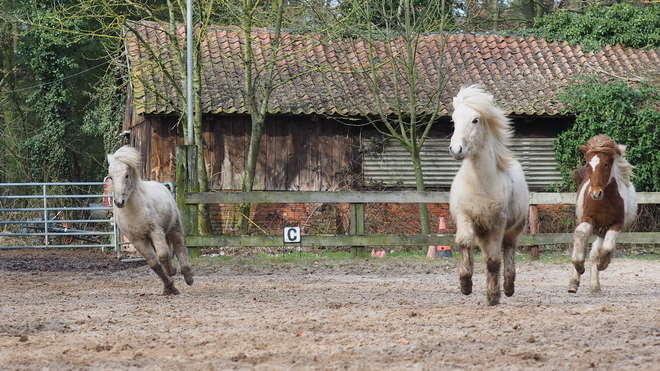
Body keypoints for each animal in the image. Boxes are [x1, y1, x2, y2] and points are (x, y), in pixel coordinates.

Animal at [108, 147, 193, 294]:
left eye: (126, 175)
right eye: (111, 177)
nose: (119, 202)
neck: (135, 213)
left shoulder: (156, 231)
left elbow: (163, 255)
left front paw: (172, 271)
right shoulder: (138, 240)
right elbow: (154, 263)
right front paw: (170, 287)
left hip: (174, 229)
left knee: (180, 248)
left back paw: (188, 277)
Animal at [446, 85, 528, 306]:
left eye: (475, 120)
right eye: (453, 121)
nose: (456, 149)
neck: (481, 185)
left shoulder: (498, 223)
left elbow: (493, 260)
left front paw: (493, 296)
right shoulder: (465, 217)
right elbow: (465, 243)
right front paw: (465, 285)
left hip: (512, 229)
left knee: (508, 250)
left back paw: (508, 287)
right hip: (483, 232)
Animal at [568, 135, 636, 294]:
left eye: (606, 164)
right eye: (588, 164)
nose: (595, 193)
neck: (604, 202)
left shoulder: (616, 224)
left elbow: (607, 248)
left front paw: (602, 264)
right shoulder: (587, 219)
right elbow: (580, 236)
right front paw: (579, 267)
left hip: (601, 232)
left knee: (595, 252)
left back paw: (595, 286)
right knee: (587, 248)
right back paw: (574, 284)